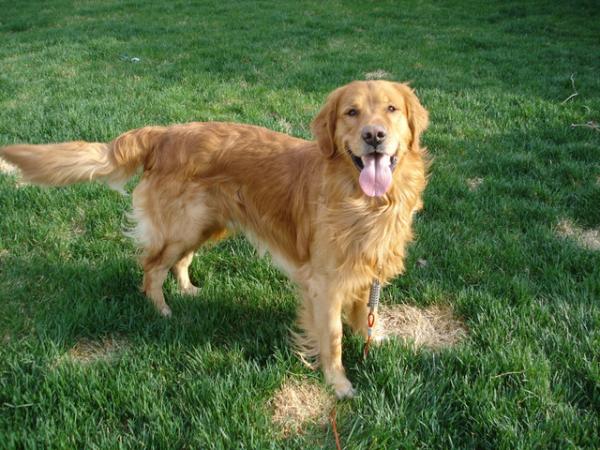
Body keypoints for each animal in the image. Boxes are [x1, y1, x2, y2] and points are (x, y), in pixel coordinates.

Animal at [1, 81, 432, 398]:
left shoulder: (364, 268)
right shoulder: (324, 282)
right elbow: (334, 336)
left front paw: (373, 342)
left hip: (205, 225)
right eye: (351, 112)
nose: (374, 136)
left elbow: (362, 316)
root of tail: (164, 133)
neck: (365, 204)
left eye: (391, 109)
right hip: (183, 227)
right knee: (151, 267)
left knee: (179, 262)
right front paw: (339, 384)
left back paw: (189, 291)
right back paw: (161, 310)